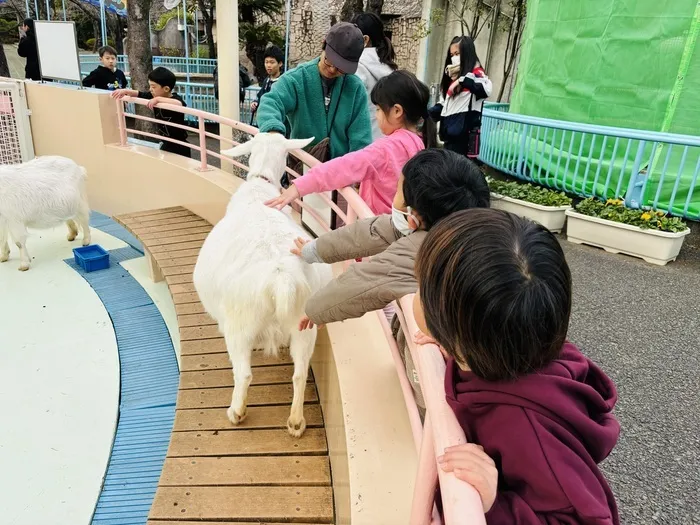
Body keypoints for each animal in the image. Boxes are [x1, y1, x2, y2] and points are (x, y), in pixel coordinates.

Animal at [193, 133, 332, 436]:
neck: (260, 186)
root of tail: (282, 275)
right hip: (305, 323)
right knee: (299, 373)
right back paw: (295, 422)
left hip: (239, 324)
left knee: (244, 374)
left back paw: (236, 412)